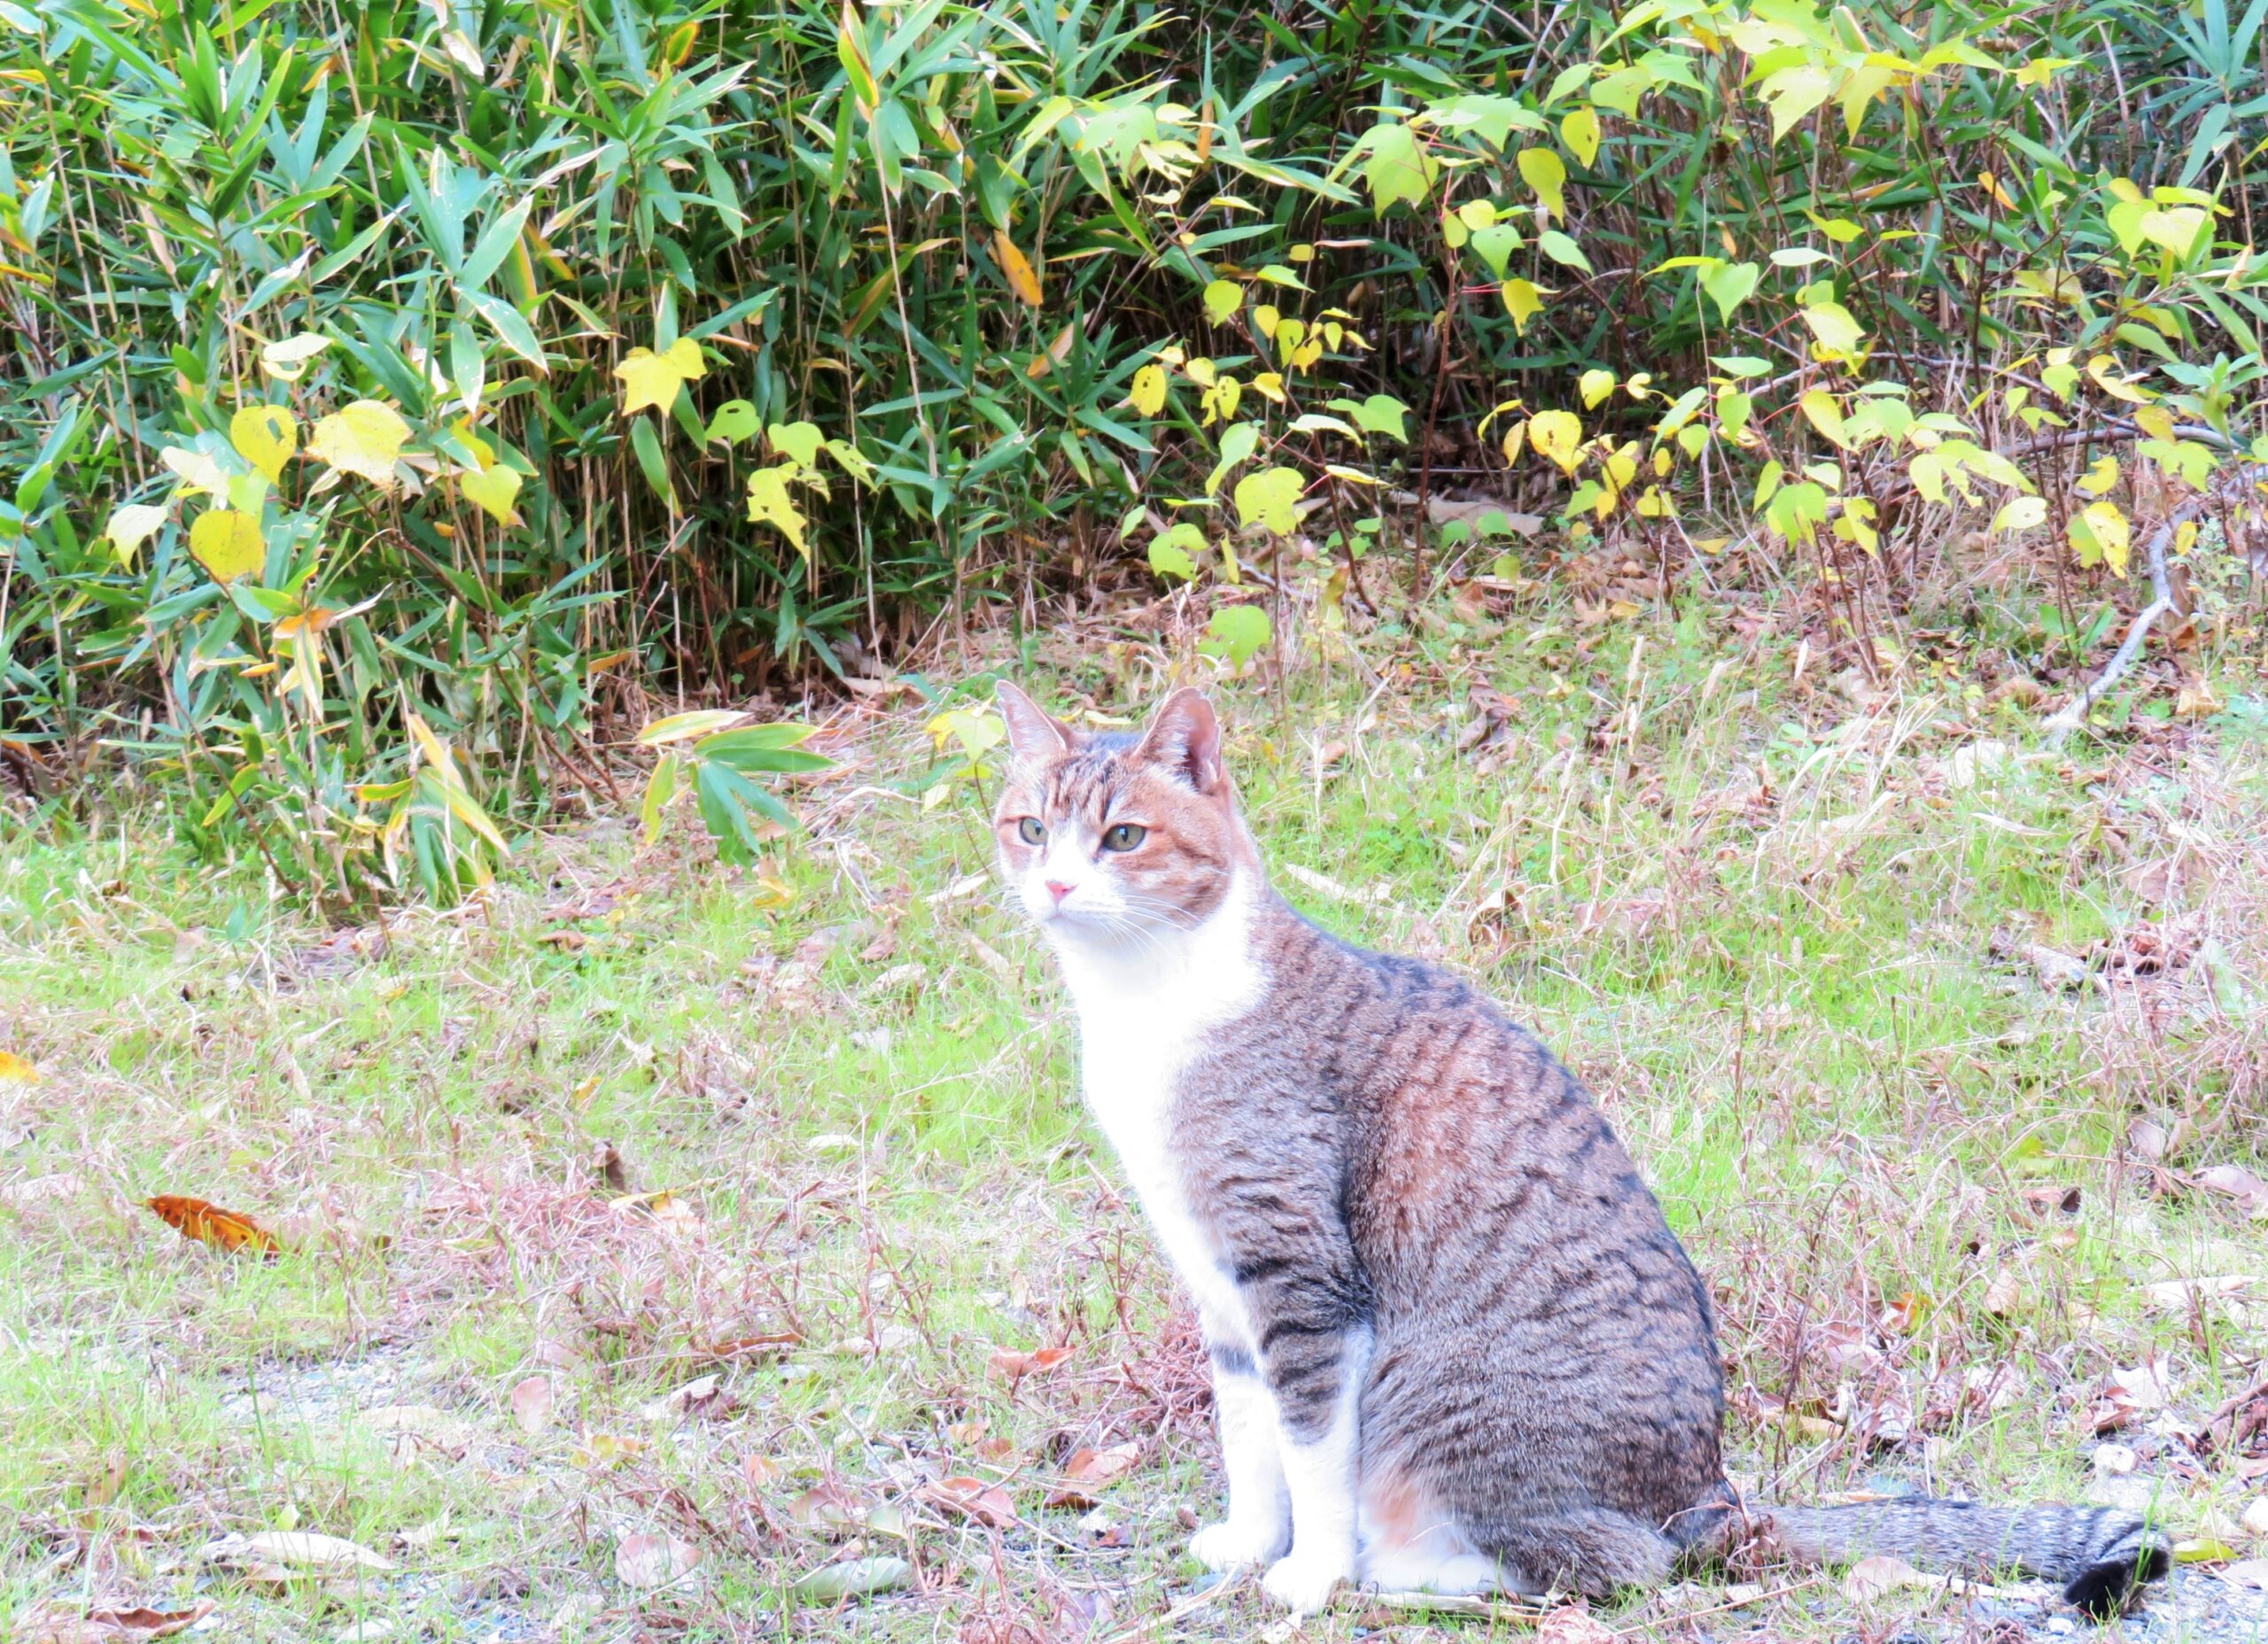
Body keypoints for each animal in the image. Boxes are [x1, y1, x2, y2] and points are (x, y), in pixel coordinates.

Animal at [984, 675, 2168, 1614]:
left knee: (1612, 1558)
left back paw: (1406, 1569)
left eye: (1124, 837)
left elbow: (1310, 1448)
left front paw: (1310, 1571)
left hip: (1440, 1400)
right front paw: (1246, 1540)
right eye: (1031, 828)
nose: (1056, 884)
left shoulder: (1302, 1277)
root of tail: (1714, 1492)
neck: (1147, 1003)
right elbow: (1249, 1437)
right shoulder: (1222, 1283)